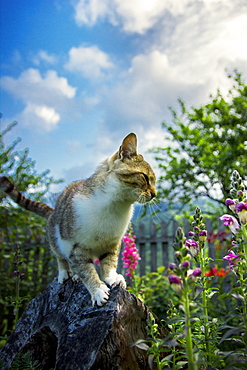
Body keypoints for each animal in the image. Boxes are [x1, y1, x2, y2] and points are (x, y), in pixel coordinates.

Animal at [0, 133, 156, 306]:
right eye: (144, 177)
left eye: (154, 180)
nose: (154, 194)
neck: (116, 206)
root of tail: (53, 211)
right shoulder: (76, 246)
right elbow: (86, 271)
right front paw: (97, 290)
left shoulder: (112, 242)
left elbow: (109, 262)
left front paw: (111, 277)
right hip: (55, 238)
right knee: (61, 258)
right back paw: (65, 274)